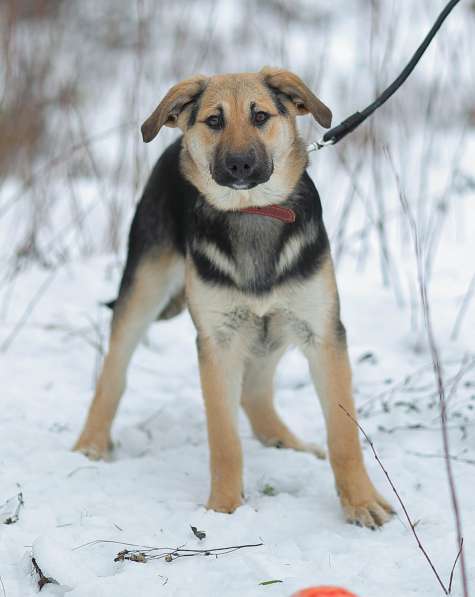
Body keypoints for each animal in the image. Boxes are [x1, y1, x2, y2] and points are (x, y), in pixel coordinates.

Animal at [74, 67, 394, 528]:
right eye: (214, 121)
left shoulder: (322, 333)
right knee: (113, 374)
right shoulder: (218, 342)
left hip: (273, 328)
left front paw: (361, 501)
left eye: (260, 116)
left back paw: (287, 443)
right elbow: (224, 439)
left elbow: (343, 434)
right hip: (144, 288)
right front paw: (224, 509)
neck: (252, 212)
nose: (239, 164)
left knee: (255, 391)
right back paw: (91, 443)